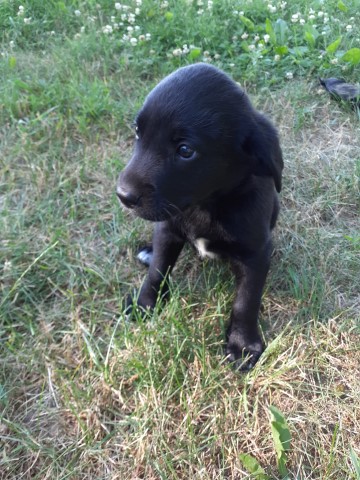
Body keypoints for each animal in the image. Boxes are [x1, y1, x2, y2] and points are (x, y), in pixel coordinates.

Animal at [116, 62, 282, 372]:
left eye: (185, 151)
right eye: (138, 133)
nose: (123, 195)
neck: (205, 205)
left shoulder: (255, 252)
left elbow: (247, 299)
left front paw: (243, 344)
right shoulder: (167, 230)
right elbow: (157, 270)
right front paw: (145, 304)